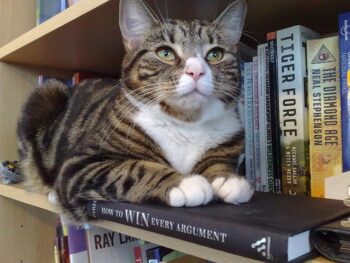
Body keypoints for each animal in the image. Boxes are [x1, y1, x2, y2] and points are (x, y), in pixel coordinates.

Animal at [17, 0, 252, 223]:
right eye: (165, 53)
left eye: (215, 54)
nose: (196, 71)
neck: (187, 123)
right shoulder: (80, 164)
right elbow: (132, 168)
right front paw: (184, 182)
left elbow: (218, 162)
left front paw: (228, 178)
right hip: (46, 94)